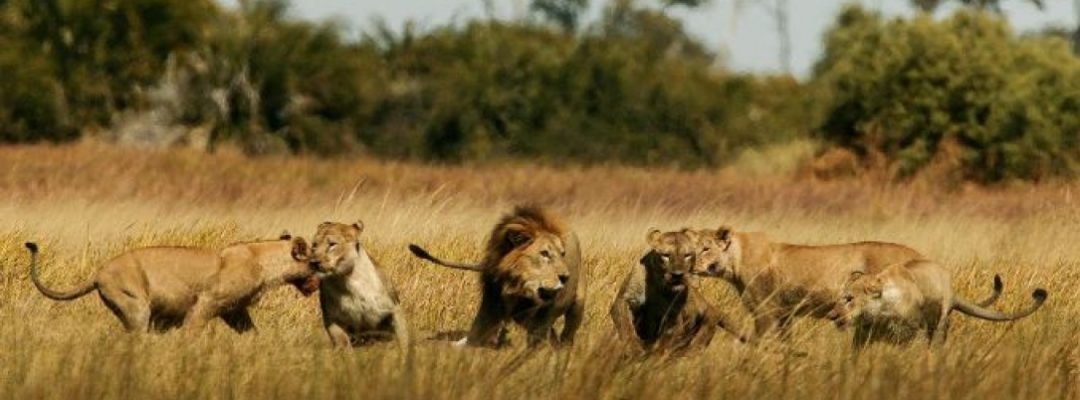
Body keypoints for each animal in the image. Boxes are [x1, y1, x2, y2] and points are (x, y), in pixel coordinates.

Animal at [27, 235, 316, 333]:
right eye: (315, 262)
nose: (316, 283)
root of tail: (97, 273)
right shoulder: (206, 303)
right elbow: (193, 329)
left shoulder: (235, 311)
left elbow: (252, 332)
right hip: (137, 307)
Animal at [408, 205, 583, 348]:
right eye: (544, 253)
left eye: (562, 254)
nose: (565, 277)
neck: (515, 285)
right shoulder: (491, 300)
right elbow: (476, 334)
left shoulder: (544, 314)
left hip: (576, 305)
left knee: (567, 333)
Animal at [610, 229, 743, 354]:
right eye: (666, 255)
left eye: (687, 255)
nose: (678, 275)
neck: (658, 283)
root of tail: (711, 307)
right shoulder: (626, 298)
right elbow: (625, 325)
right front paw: (633, 349)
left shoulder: (674, 317)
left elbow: (664, 344)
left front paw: (653, 357)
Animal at [690, 227, 1002, 341]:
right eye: (692, 249)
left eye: (705, 248)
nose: (691, 265)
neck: (736, 261)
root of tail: (918, 255)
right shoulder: (784, 314)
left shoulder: (766, 312)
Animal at [829, 259, 1047, 347]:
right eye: (839, 299)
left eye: (849, 299)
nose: (831, 316)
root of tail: (952, 292)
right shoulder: (862, 335)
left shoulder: (913, 332)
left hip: (939, 326)